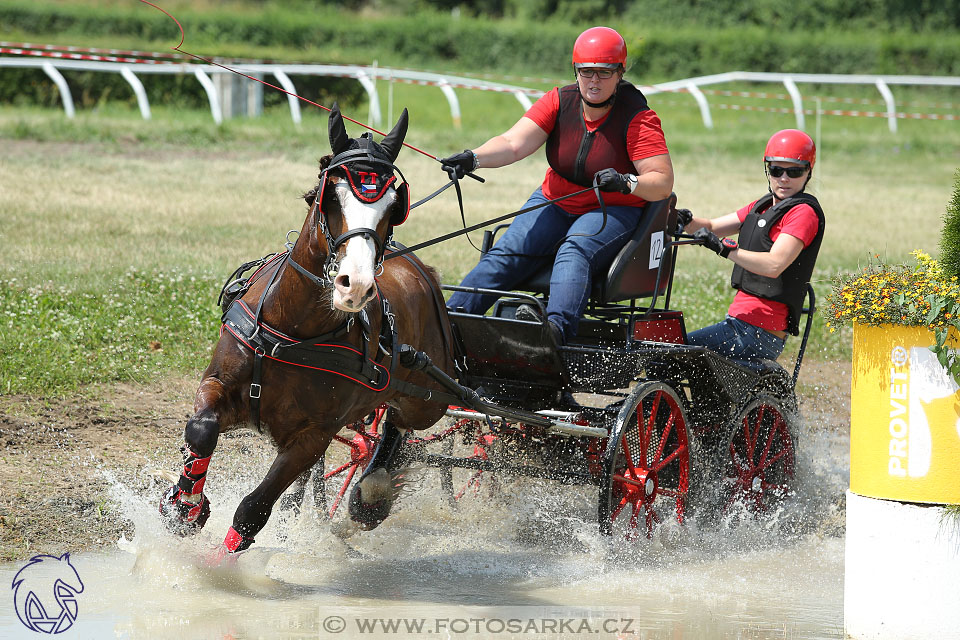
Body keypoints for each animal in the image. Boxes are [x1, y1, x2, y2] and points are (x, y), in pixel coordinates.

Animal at [157, 105, 454, 556]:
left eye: (393, 206)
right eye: (330, 195)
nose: (356, 285)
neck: (293, 332)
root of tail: (421, 268)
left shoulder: (314, 436)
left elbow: (253, 509)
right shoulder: (218, 384)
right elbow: (202, 430)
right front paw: (186, 507)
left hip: (429, 399)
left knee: (400, 424)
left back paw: (374, 488)